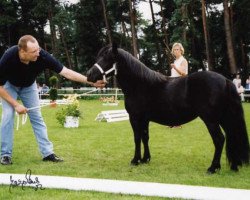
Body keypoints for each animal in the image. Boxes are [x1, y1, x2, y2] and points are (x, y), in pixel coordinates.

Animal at [86, 43, 250, 173]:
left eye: (107, 58)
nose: (89, 75)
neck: (140, 84)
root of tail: (226, 80)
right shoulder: (145, 119)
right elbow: (145, 137)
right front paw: (145, 159)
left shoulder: (135, 118)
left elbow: (137, 138)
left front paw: (135, 160)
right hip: (224, 118)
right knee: (232, 136)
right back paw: (234, 166)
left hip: (211, 119)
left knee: (219, 139)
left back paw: (213, 167)